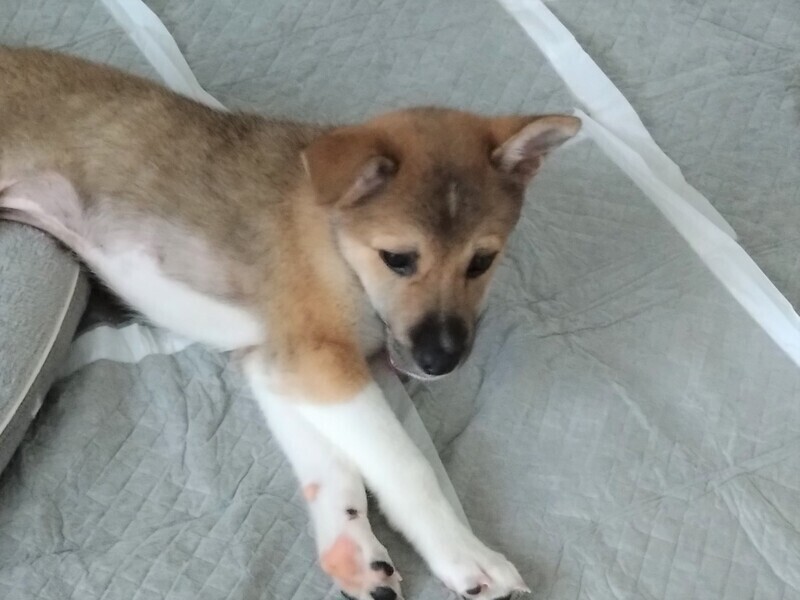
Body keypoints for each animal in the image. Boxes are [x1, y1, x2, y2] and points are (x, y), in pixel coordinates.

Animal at [0, 47, 580, 600]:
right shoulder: (321, 363)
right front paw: (464, 553)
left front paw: (351, 550)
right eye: (398, 259)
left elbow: (334, 469)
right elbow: (407, 467)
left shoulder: (280, 365)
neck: (339, 246)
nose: (442, 360)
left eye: (482, 262)